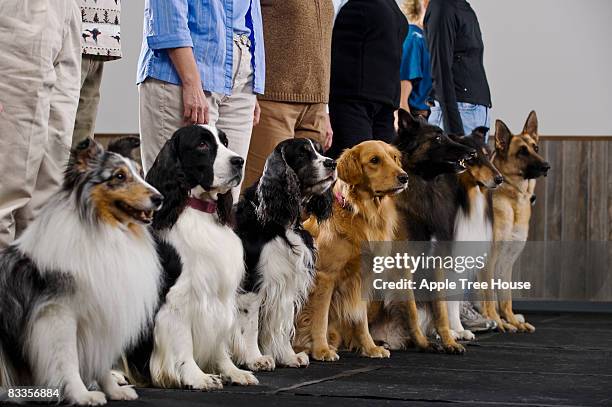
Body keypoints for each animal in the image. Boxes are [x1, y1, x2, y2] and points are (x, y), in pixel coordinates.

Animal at [480, 111, 552, 332]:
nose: (546, 166)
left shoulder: (507, 261)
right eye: (522, 152)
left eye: (536, 148)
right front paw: (497, 321)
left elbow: (505, 297)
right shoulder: (489, 259)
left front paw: (510, 320)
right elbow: (489, 295)